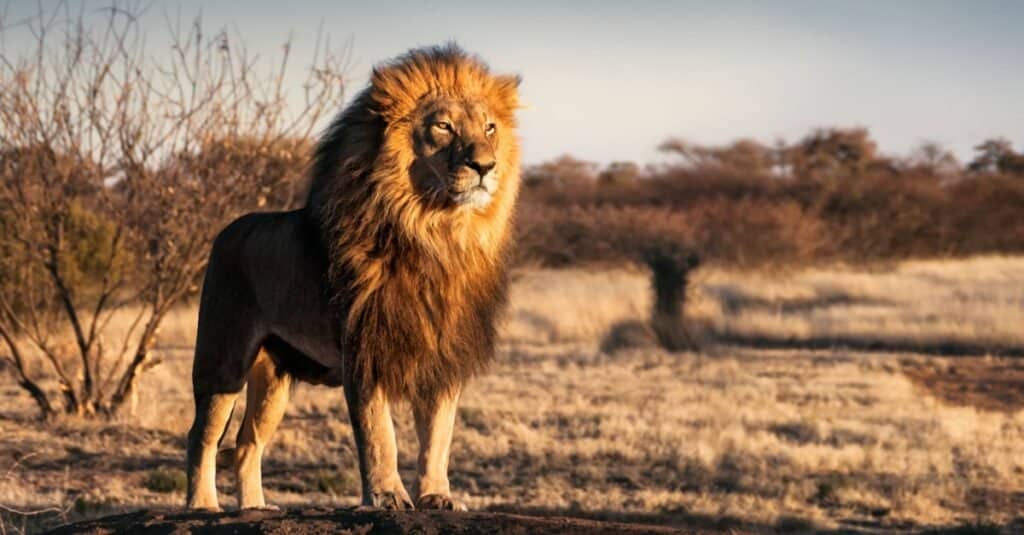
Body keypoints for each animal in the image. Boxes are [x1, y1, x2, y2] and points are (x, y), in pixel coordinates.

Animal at [184, 43, 520, 510]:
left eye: (490, 128)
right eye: (443, 126)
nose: (485, 165)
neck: (435, 234)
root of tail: (227, 230)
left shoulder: (443, 355)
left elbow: (438, 436)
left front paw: (437, 496)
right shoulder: (364, 349)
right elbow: (380, 434)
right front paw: (387, 495)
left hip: (273, 378)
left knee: (248, 443)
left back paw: (254, 508)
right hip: (223, 359)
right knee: (202, 436)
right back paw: (202, 505)